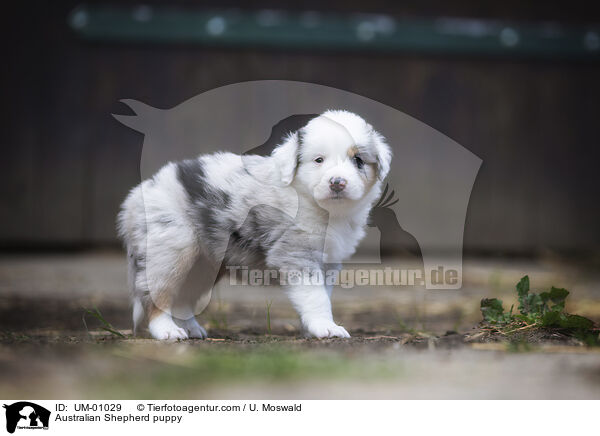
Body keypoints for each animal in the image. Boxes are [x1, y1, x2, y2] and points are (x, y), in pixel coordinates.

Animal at [116, 110, 392, 340]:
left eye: (358, 160)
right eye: (319, 160)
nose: (337, 182)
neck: (322, 208)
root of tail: (136, 196)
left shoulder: (329, 262)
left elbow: (322, 295)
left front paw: (312, 327)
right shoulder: (296, 255)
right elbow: (316, 298)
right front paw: (326, 328)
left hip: (202, 265)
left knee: (183, 298)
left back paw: (192, 329)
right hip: (170, 253)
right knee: (156, 296)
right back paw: (168, 331)